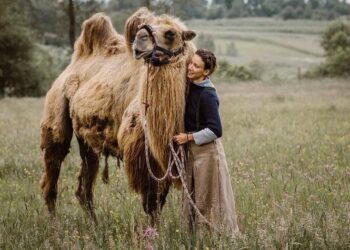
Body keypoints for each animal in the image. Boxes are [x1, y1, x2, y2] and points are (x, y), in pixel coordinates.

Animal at [40, 9, 197, 225]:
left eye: (171, 33)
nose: (140, 38)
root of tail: (73, 63)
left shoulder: (166, 155)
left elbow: (160, 197)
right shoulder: (140, 151)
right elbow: (151, 202)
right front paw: (153, 231)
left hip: (86, 136)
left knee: (85, 181)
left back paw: (95, 225)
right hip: (56, 104)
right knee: (54, 161)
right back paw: (55, 223)